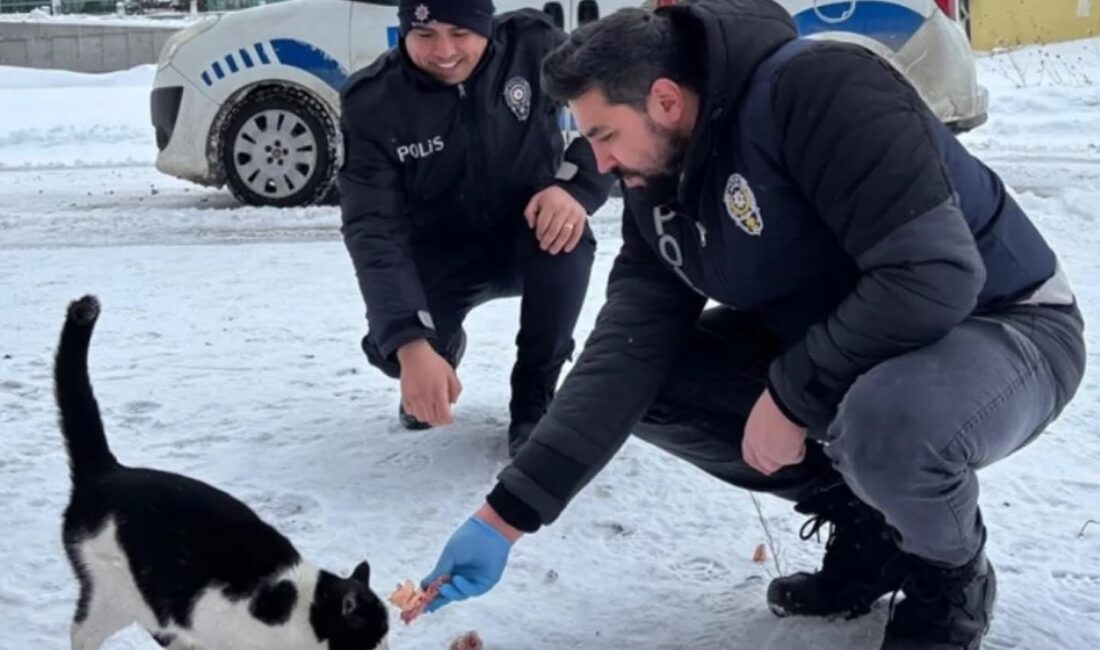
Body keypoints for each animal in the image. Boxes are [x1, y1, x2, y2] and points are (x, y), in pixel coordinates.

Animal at [55, 296, 393, 650]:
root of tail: (106, 470)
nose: (388, 649)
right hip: (115, 594)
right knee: (83, 631)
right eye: (374, 638)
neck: (301, 610)